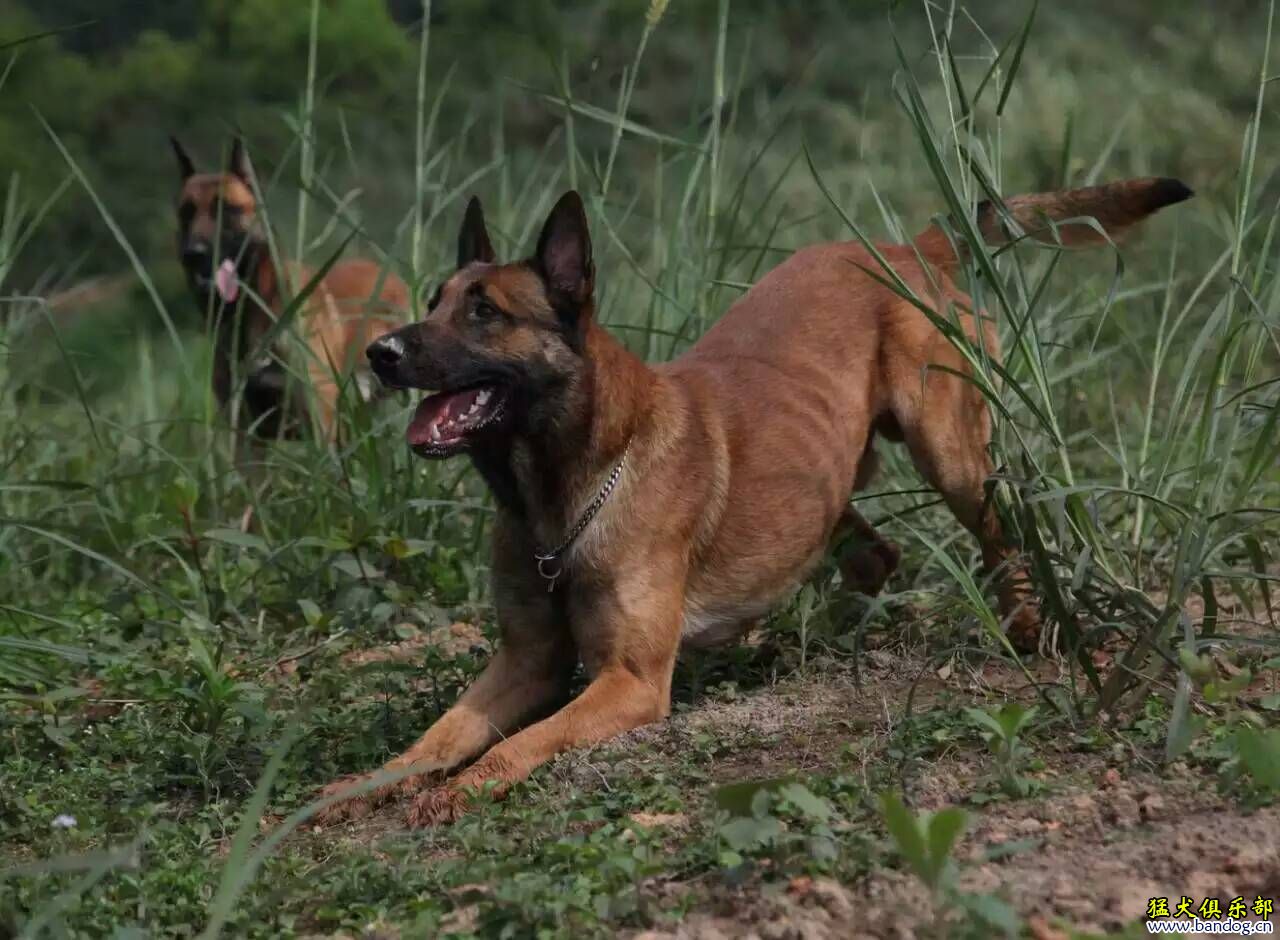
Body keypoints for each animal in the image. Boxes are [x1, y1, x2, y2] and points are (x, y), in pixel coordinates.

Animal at [317, 175, 1187, 824]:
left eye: (485, 313)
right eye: (434, 300)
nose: (380, 352)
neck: (561, 494)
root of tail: (907, 247)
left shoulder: (629, 682)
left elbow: (513, 746)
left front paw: (466, 787)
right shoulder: (524, 663)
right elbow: (437, 737)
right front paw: (360, 784)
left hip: (953, 455)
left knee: (997, 537)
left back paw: (1025, 624)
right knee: (873, 552)